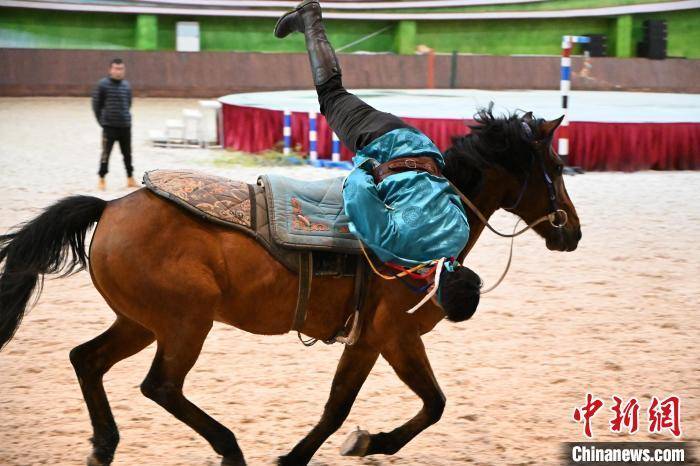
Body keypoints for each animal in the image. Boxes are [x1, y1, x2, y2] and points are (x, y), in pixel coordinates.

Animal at [0, 110, 580, 466]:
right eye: (555, 166)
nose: (571, 231)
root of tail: (110, 207)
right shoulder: (390, 336)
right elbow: (405, 405)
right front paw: (356, 443)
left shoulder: (375, 340)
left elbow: (368, 404)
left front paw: (341, 445)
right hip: (185, 324)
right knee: (160, 386)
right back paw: (228, 448)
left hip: (141, 323)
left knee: (87, 359)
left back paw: (104, 444)